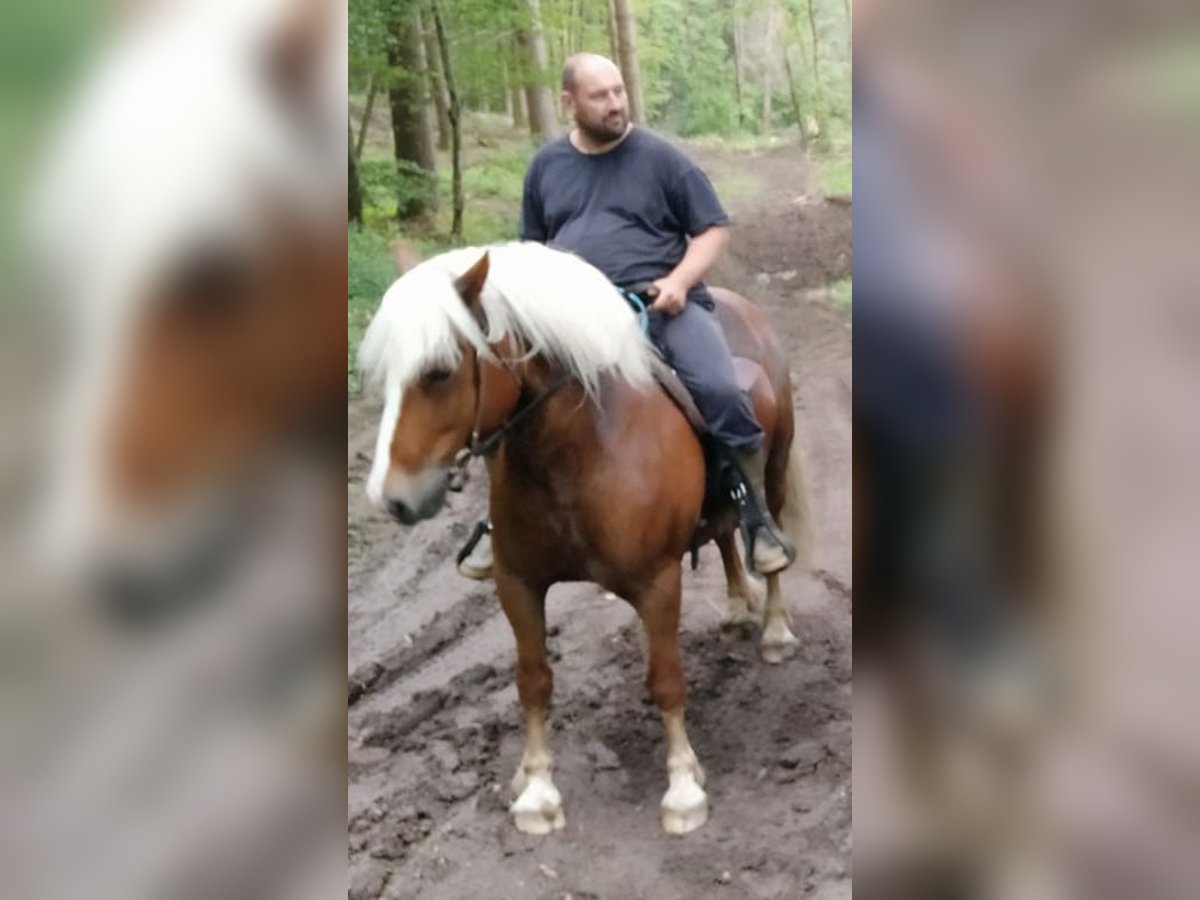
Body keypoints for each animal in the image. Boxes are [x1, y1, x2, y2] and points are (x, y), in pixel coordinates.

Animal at [360, 243, 811, 835]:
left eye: (439, 373)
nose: (391, 498)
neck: (577, 450)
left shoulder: (657, 583)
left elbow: (666, 679)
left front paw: (683, 789)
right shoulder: (518, 583)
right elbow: (533, 679)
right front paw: (537, 790)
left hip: (775, 469)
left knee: (765, 534)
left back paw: (775, 628)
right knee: (722, 532)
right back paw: (737, 608)